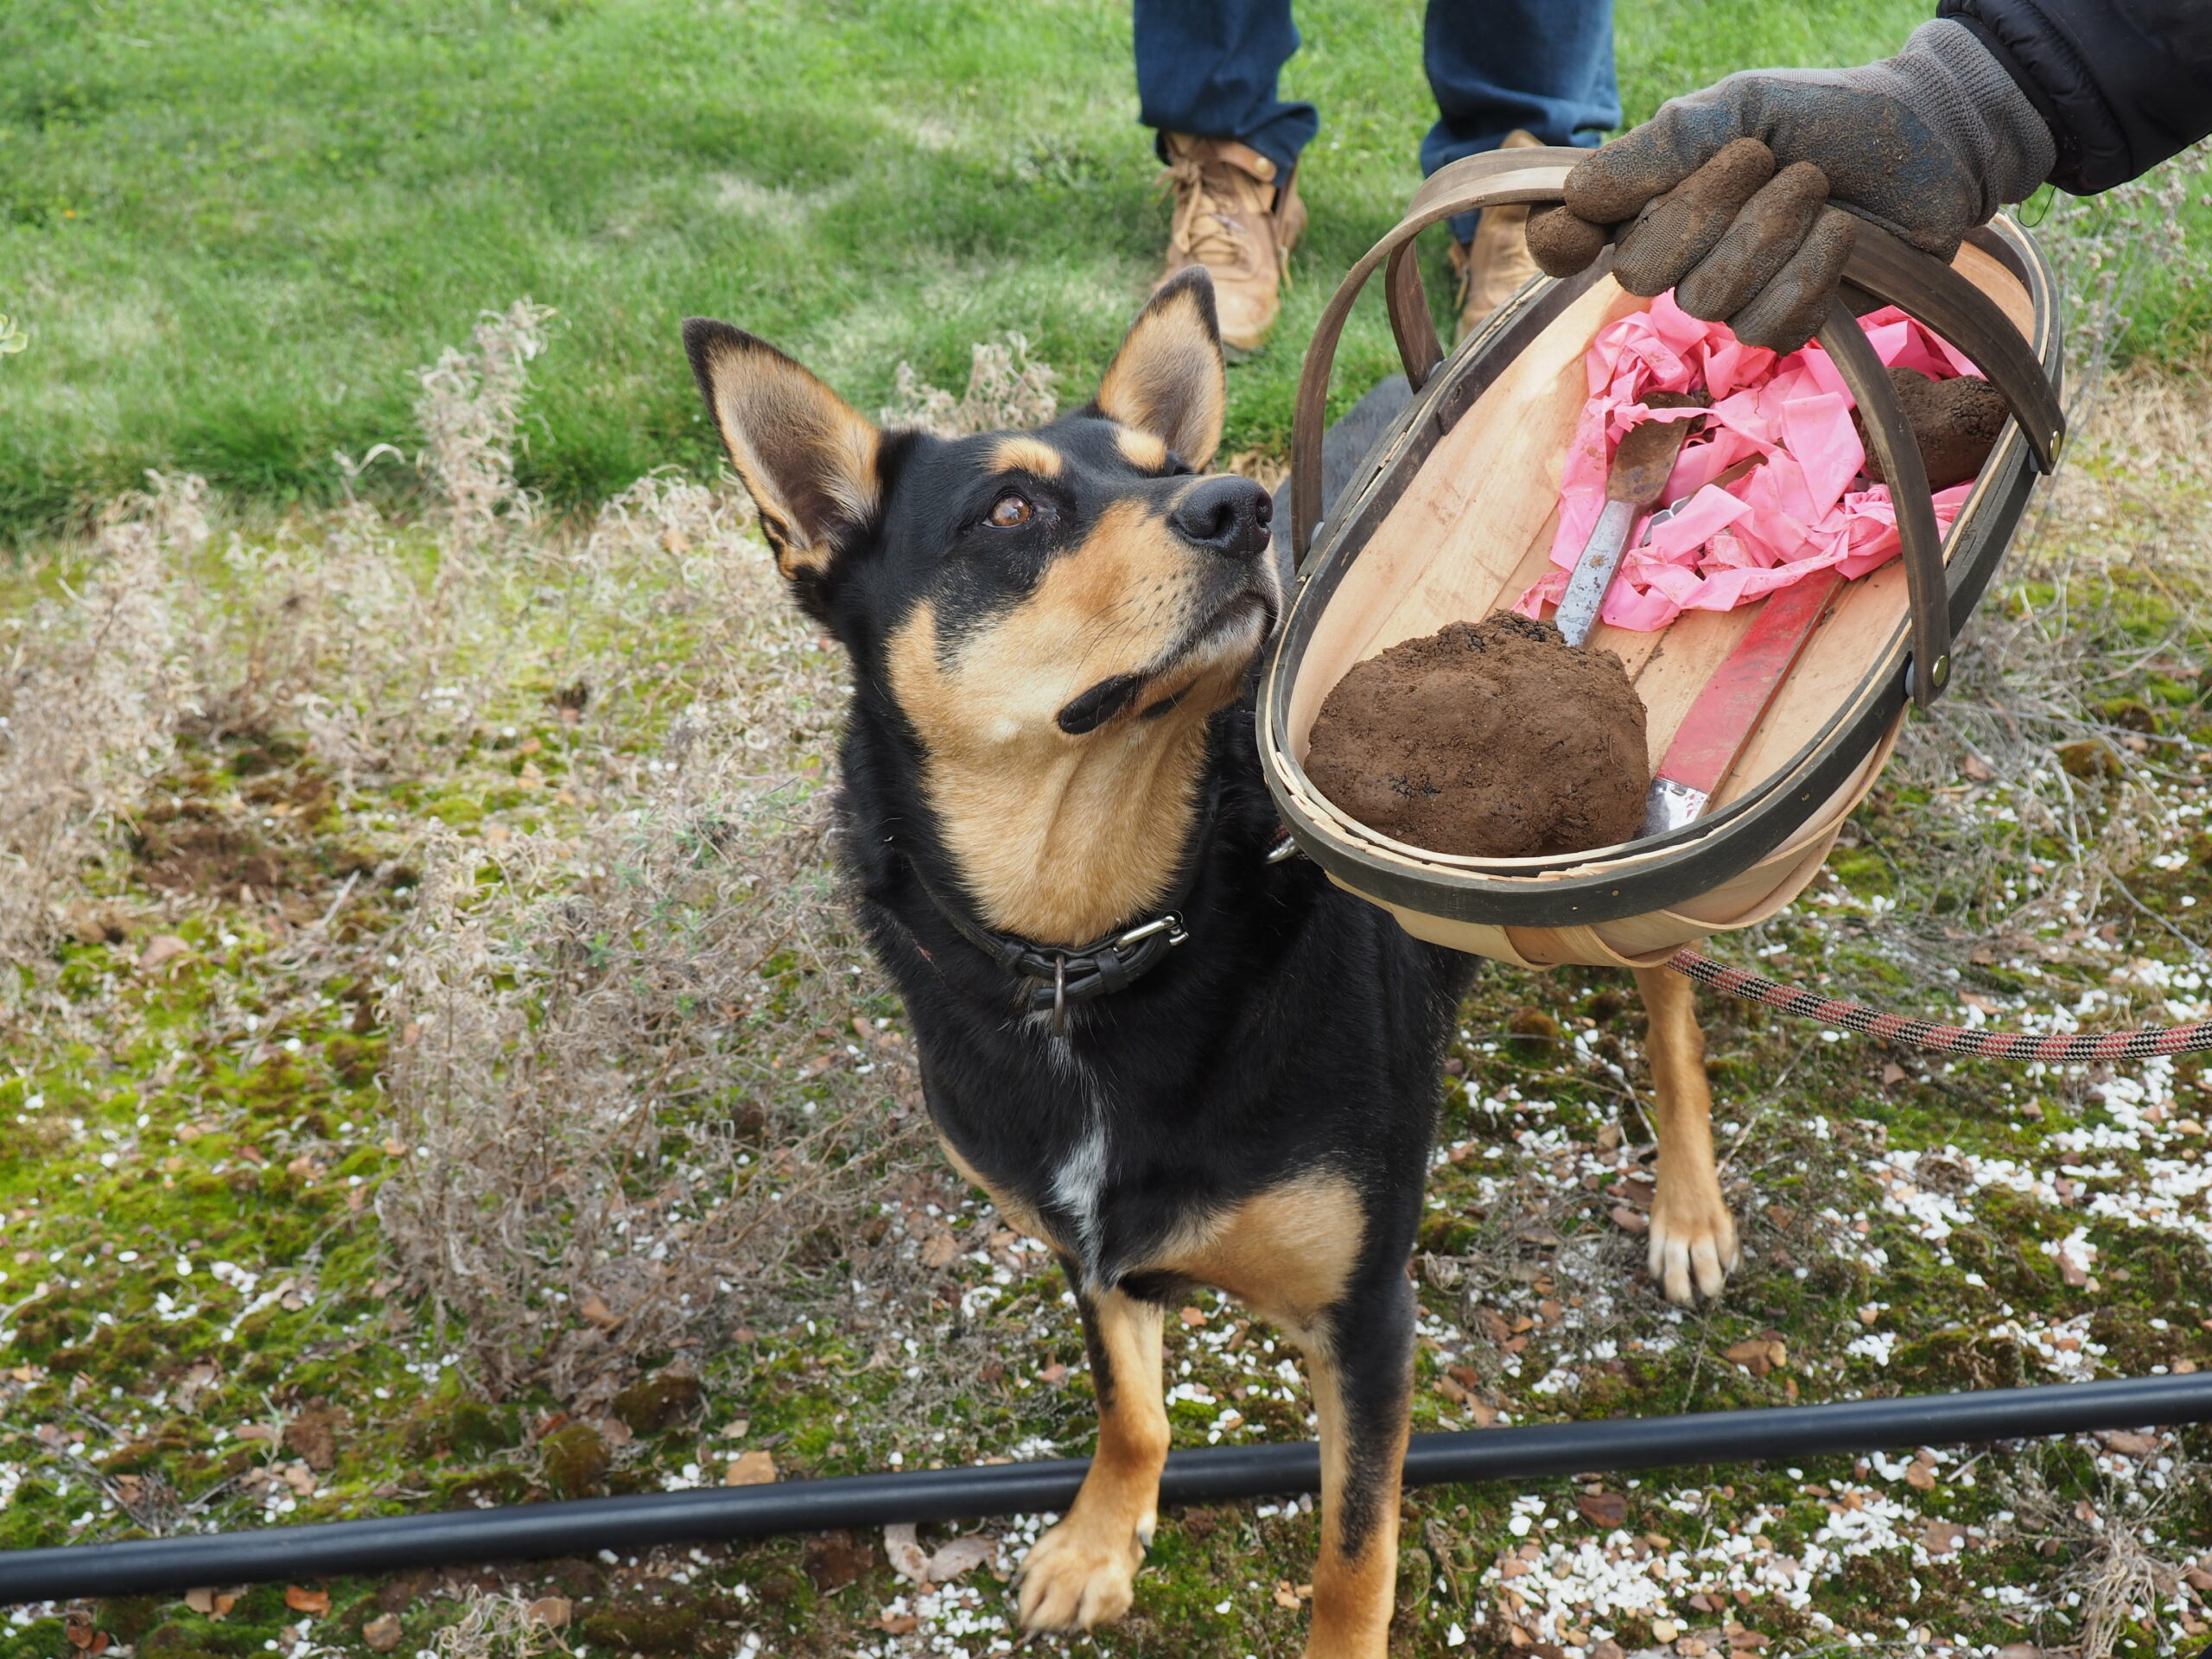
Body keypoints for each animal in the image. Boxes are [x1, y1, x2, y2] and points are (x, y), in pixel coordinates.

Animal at [681, 266, 1734, 1654]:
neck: (1096, 937)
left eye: (1168, 467)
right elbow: (1127, 1405)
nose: (1240, 505)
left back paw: (1691, 1209)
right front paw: (1096, 1540)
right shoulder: (1086, 1249)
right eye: (1010, 508)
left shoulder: (1365, 1313)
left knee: (1672, 1005)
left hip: (1620, 871)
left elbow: (1354, 1555)